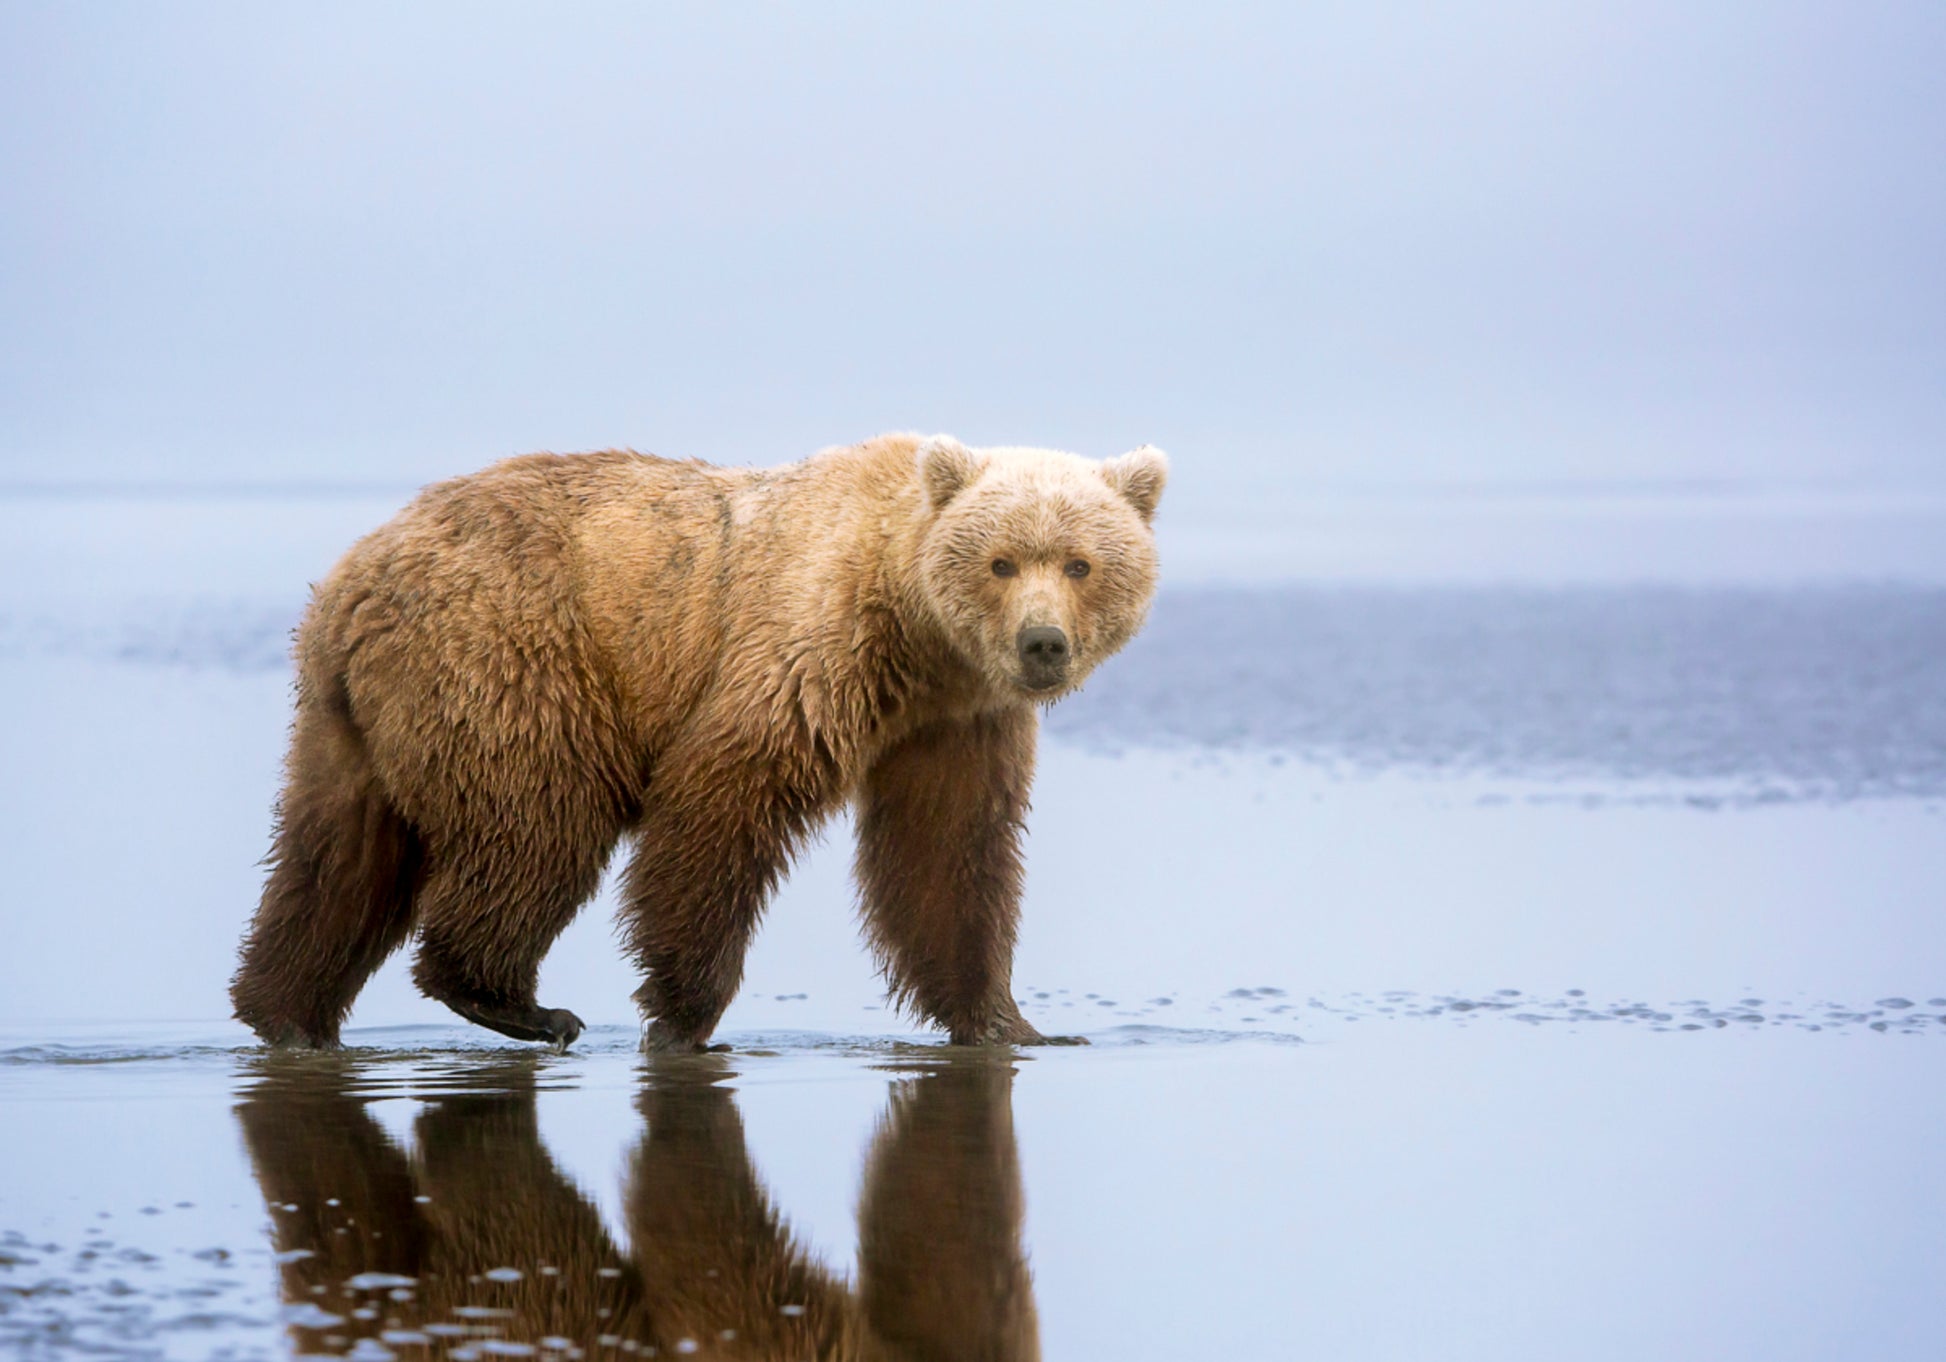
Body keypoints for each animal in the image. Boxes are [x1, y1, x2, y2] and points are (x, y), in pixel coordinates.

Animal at [229, 431, 1166, 1052]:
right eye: (1002, 562)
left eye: (1080, 563)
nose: (1043, 643)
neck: (916, 636)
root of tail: (351, 578)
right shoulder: (808, 647)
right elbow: (720, 804)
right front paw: (683, 1014)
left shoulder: (955, 724)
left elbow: (951, 859)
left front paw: (1015, 1021)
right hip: (511, 656)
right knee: (540, 823)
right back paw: (519, 1002)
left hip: (353, 720)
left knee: (336, 859)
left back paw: (286, 1010)